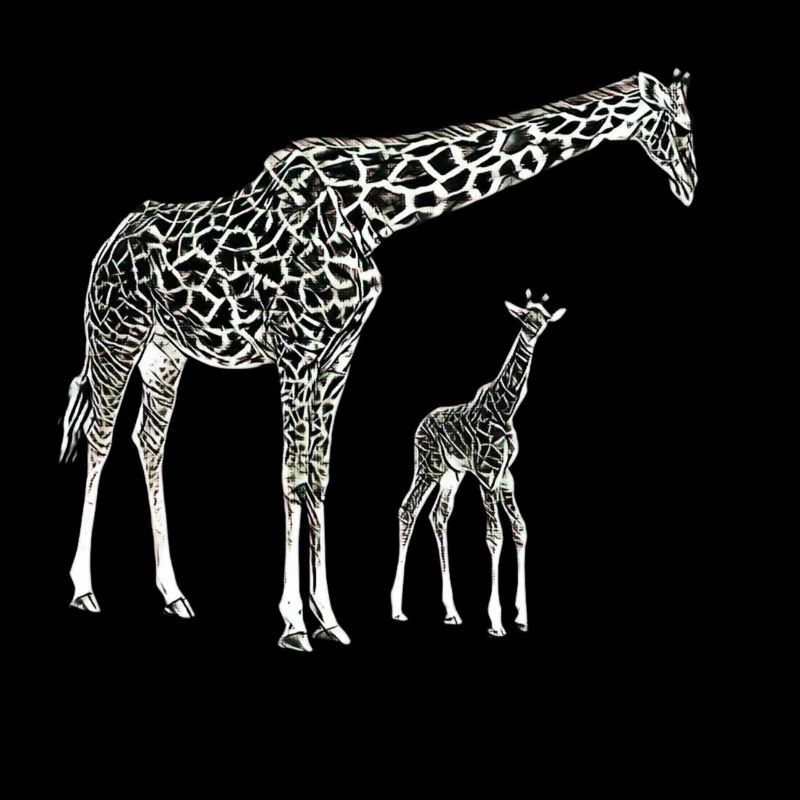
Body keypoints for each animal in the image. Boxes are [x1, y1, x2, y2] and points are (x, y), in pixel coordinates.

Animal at [390, 291, 566, 636]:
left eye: (543, 320)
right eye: (525, 318)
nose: (533, 334)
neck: (505, 408)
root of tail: (420, 425)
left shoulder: (506, 475)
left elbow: (520, 529)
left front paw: (522, 617)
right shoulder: (487, 474)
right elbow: (494, 535)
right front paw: (496, 622)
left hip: (451, 474)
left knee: (438, 515)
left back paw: (452, 612)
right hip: (428, 466)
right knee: (408, 509)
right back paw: (398, 608)